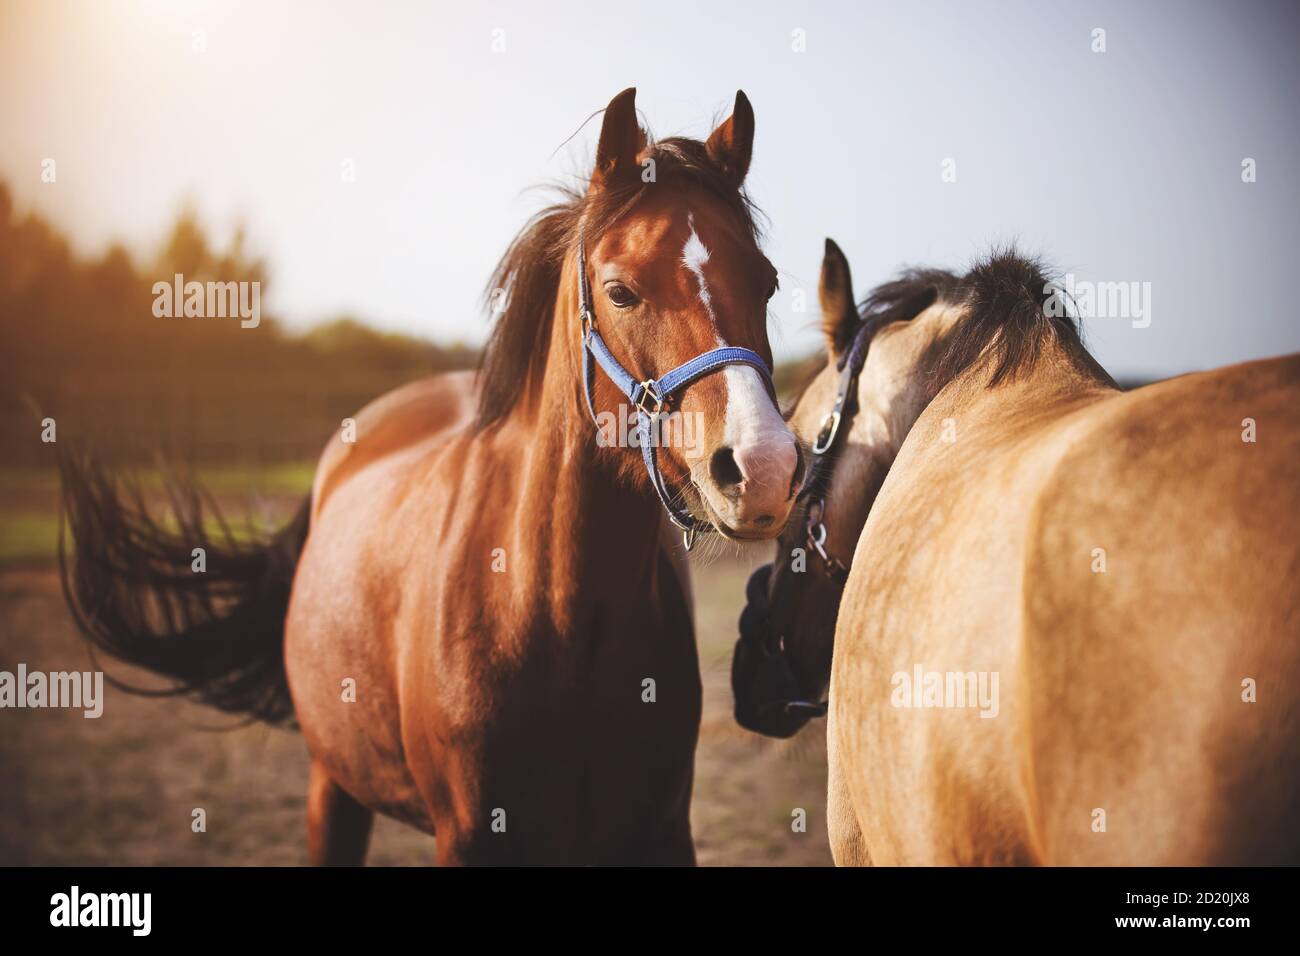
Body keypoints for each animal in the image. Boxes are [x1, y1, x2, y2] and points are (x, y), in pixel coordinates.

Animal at [61, 91, 800, 868]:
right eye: (620, 291)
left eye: (768, 283)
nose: (763, 467)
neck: (555, 615)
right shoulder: (470, 838)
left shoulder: (661, 835)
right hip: (333, 785)